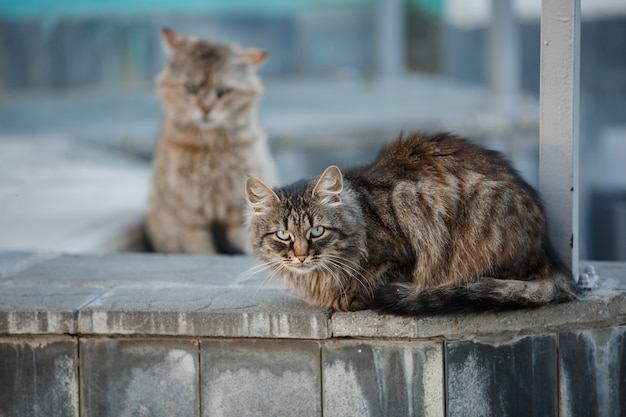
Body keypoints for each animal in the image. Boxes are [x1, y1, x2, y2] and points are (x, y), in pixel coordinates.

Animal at [145, 28, 276, 254]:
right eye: (190, 88)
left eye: (224, 92)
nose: (206, 109)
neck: (210, 147)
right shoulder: (187, 210)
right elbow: (201, 249)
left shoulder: (238, 204)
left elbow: (244, 240)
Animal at [244, 132, 576, 314]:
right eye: (283, 235)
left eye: (317, 231)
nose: (301, 256)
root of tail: (548, 253)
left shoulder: (403, 253)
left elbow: (372, 279)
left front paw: (348, 297)